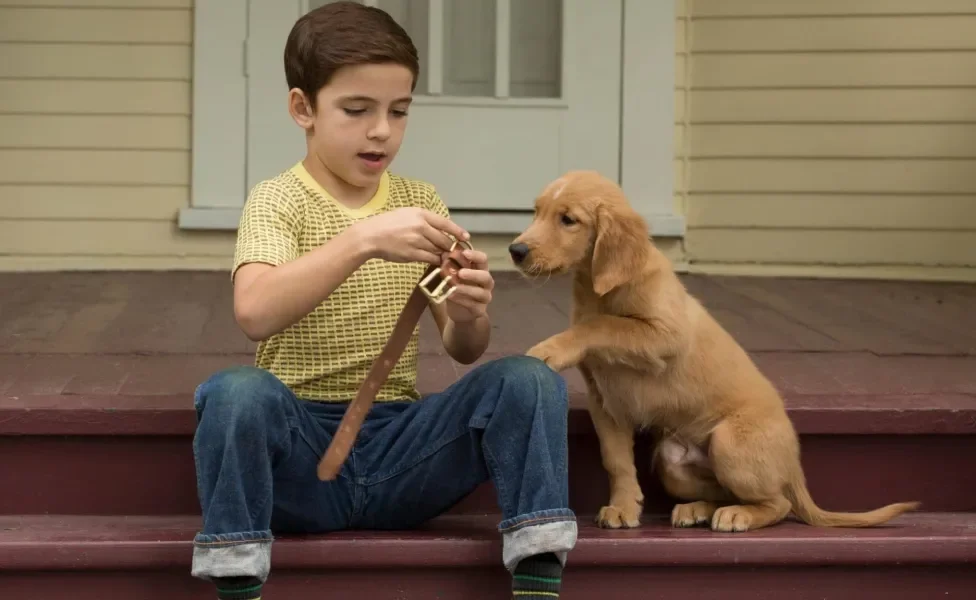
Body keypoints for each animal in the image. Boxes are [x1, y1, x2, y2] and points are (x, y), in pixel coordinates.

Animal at [508, 171, 920, 532]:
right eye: (537, 211)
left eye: (568, 220)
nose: (515, 250)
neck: (598, 291)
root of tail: (793, 466)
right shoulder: (605, 403)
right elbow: (617, 461)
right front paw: (624, 507)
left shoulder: (664, 335)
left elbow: (603, 325)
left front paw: (550, 349)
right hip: (672, 463)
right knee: (728, 492)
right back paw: (698, 510)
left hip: (728, 443)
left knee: (778, 504)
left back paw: (738, 516)